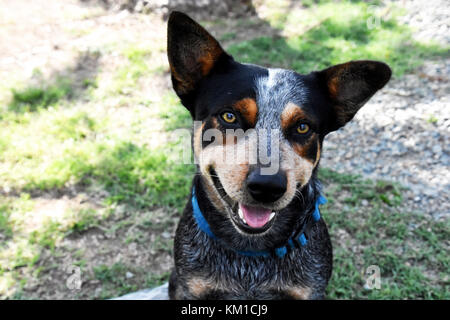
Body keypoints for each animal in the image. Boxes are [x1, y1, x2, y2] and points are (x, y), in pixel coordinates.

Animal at [166, 10, 390, 300]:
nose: (267, 186)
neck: (250, 256)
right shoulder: (188, 286)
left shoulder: (310, 289)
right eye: (229, 116)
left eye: (302, 127)